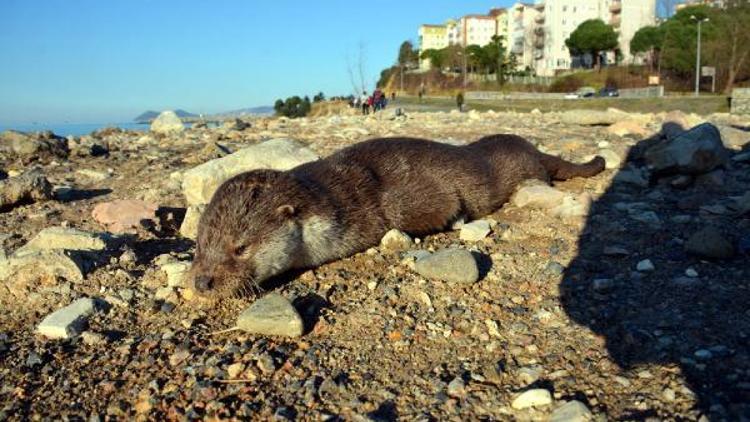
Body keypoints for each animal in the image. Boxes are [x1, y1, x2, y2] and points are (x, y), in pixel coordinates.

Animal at [188, 134, 604, 296]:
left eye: (240, 247)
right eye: (200, 246)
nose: (203, 282)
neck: (332, 204)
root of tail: (532, 148)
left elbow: (441, 202)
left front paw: (453, 218)